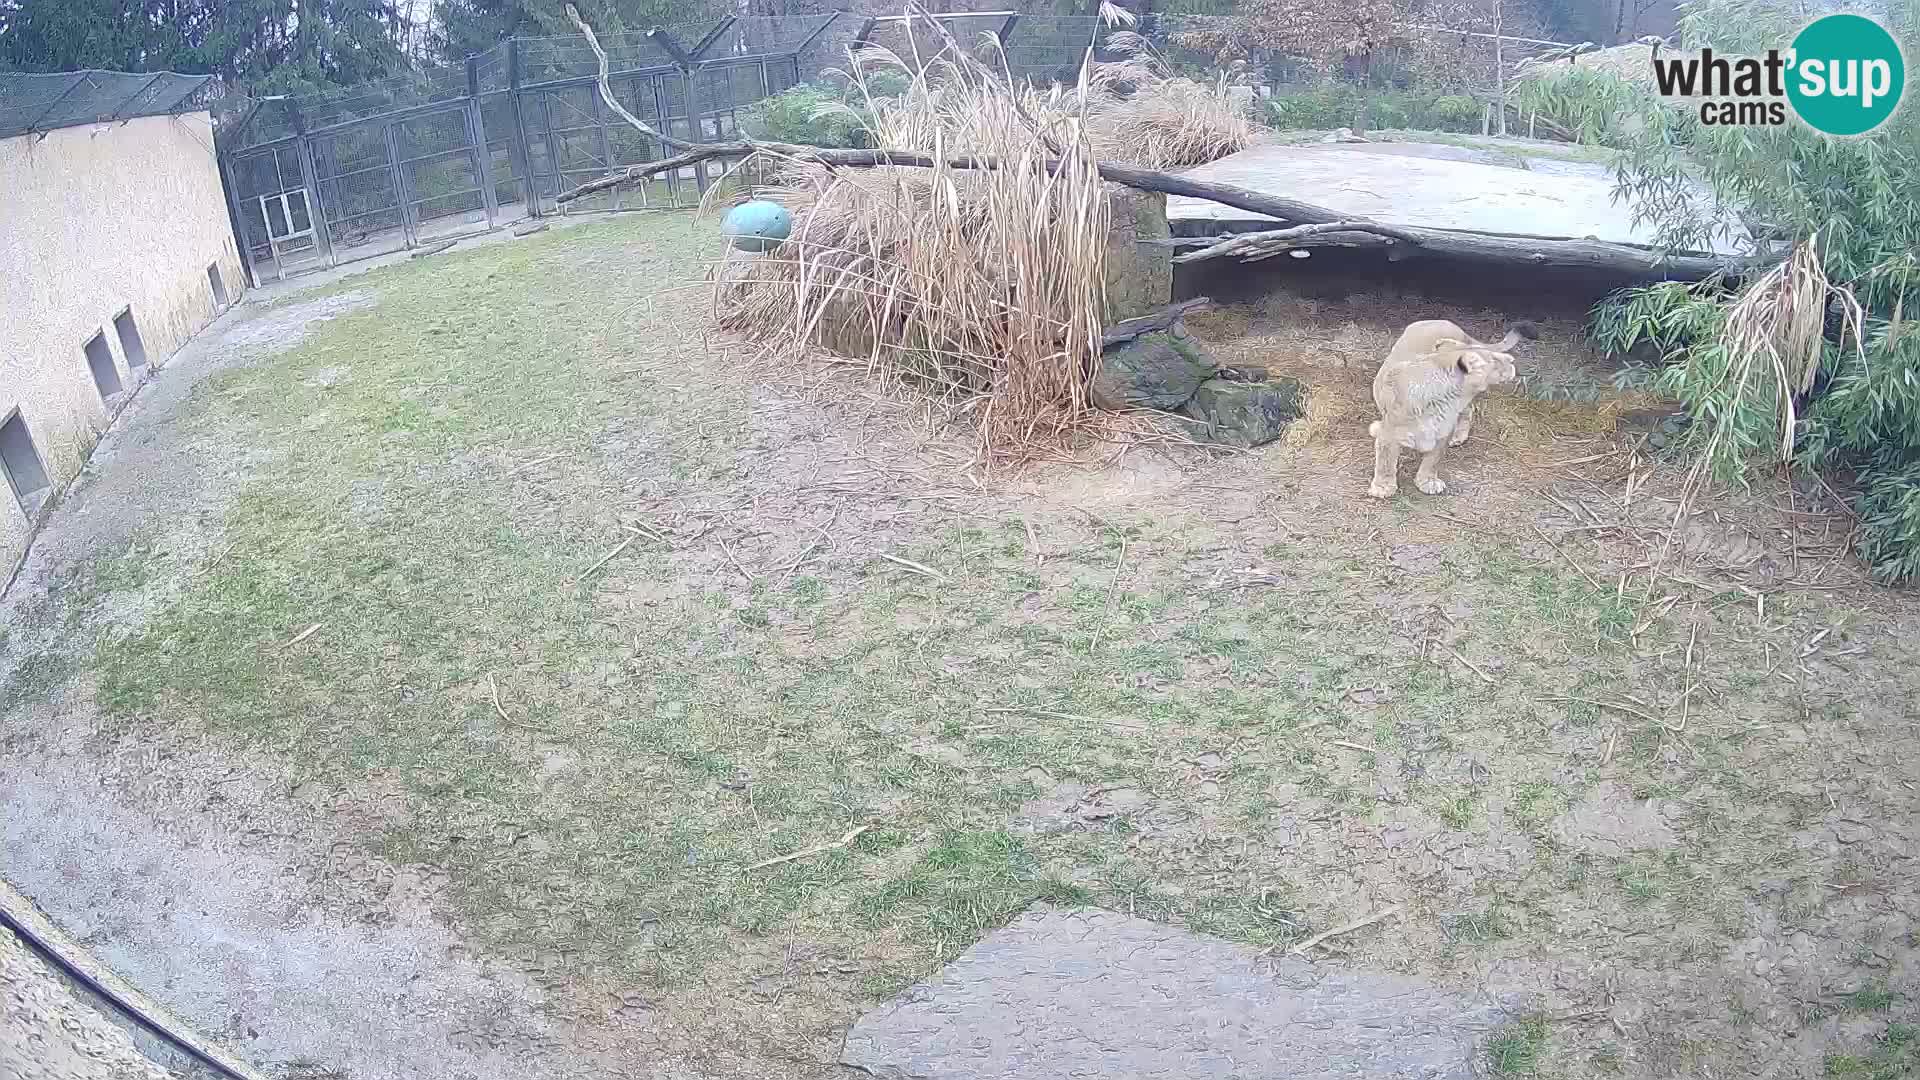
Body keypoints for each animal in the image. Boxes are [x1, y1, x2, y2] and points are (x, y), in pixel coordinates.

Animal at [1367, 319, 1538, 498]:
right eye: (1493, 359)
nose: (1511, 360)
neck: (1446, 402)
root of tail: (1443, 321)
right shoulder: (1389, 434)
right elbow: (1386, 463)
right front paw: (1383, 487)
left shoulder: (1443, 432)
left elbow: (1433, 460)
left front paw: (1428, 482)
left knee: (1469, 411)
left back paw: (1459, 436)